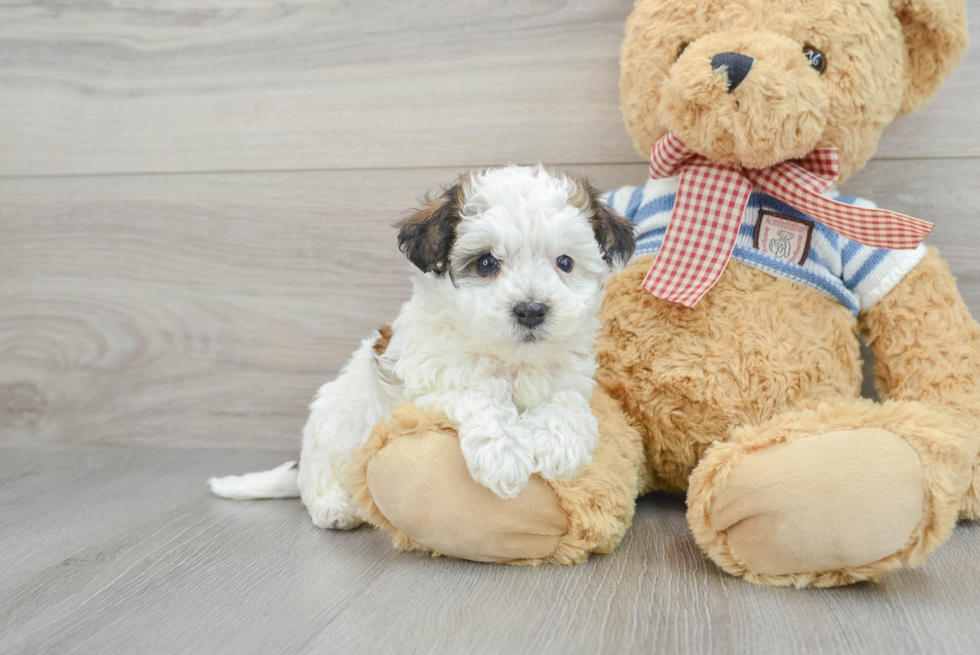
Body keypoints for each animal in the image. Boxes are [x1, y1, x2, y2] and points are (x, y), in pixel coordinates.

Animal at [210, 167, 632, 532]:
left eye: (565, 262)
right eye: (486, 263)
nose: (531, 310)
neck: (511, 360)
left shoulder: (569, 376)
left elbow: (566, 402)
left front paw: (560, 443)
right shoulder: (429, 374)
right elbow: (478, 394)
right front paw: (505, 453)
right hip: (334, 426)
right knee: (317, 479)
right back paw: (335, 507)